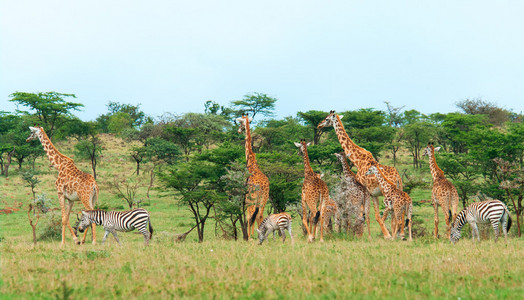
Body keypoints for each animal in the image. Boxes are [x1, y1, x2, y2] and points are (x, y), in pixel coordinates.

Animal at [316, 110, 406, 239]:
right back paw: (400, 234)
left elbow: (367, 214)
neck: (357, 160)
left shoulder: (365, 190)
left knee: (390, 211)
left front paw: (365, 235)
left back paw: (391, 234)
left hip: (387, 193)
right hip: (398, 190)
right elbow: (370, 215)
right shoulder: (372, 193)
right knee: (398, 212)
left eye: (327, 119)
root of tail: (398, 177)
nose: (319, 125)